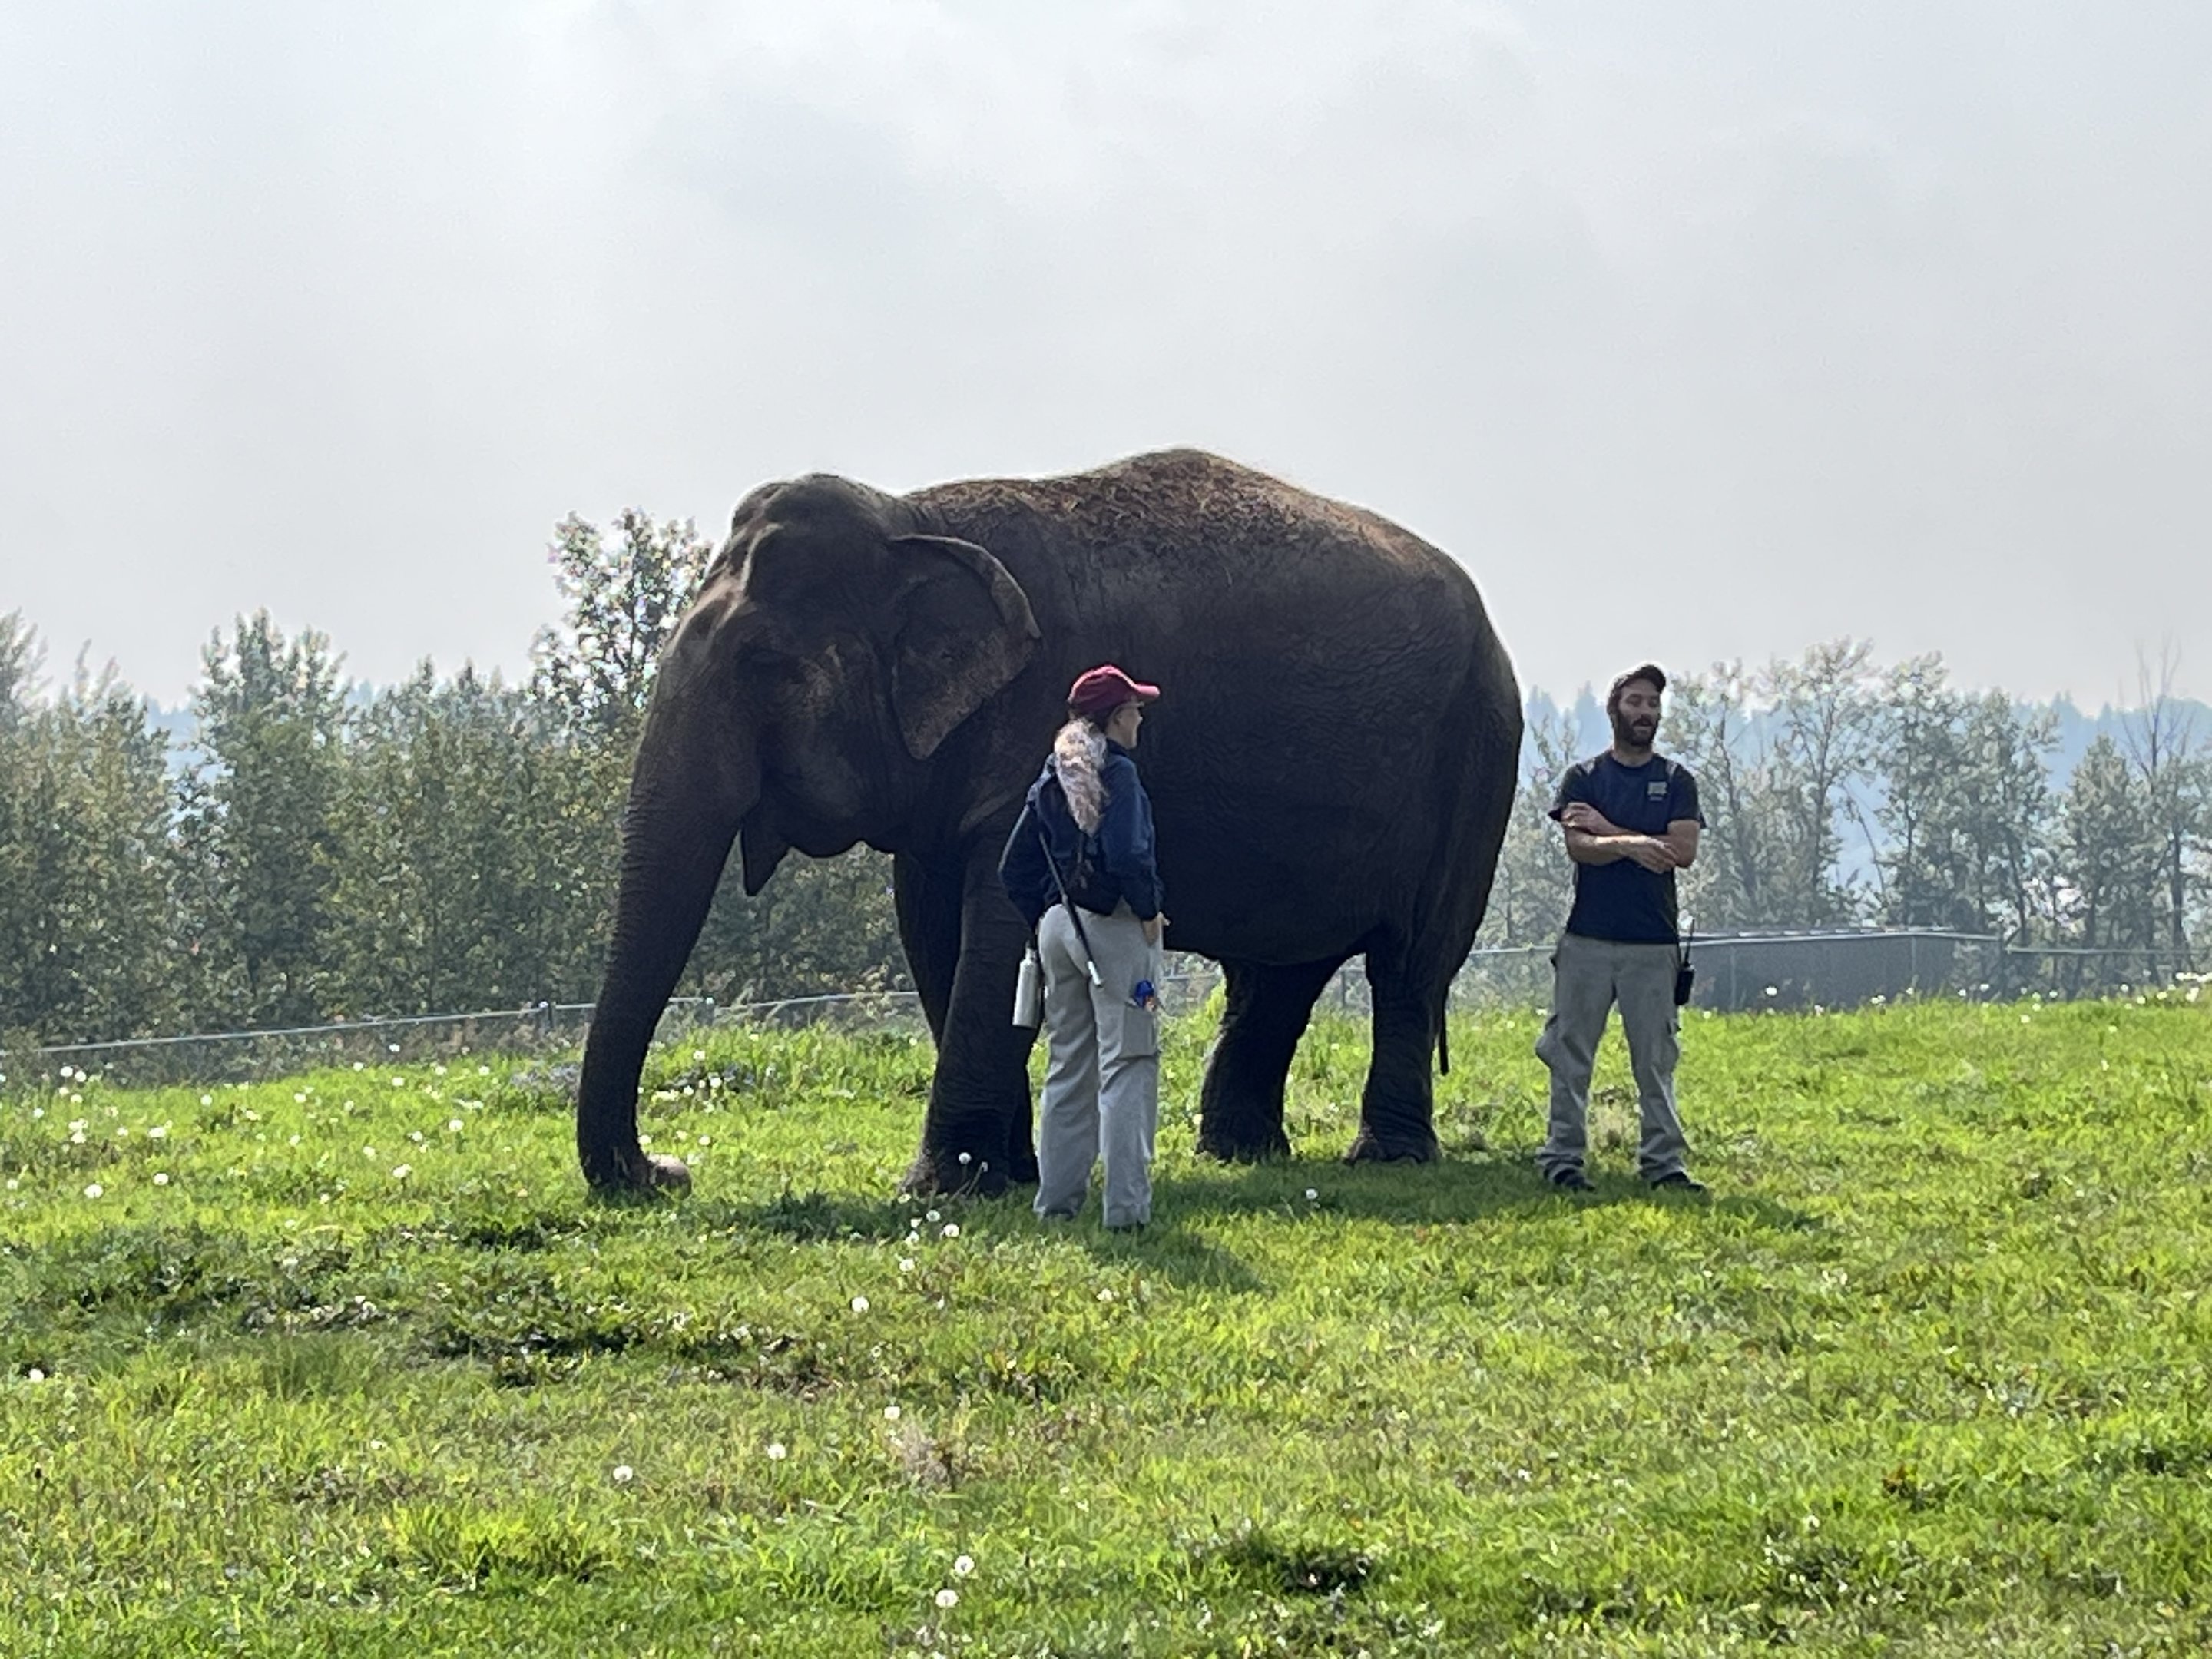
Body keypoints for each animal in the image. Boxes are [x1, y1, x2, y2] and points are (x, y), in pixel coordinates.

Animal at [575, 448, 1521, 1196]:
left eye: (765, 666)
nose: (669, 1172)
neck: (913, 521)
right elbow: (932, 931)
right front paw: (1000, 1175)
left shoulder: (1037, 716)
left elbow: (995, 922)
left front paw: (941, 1188)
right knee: (1276, 976)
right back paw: (1240, 1154)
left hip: (1477, 762)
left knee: (1411, 964)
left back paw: (1386, 1158)